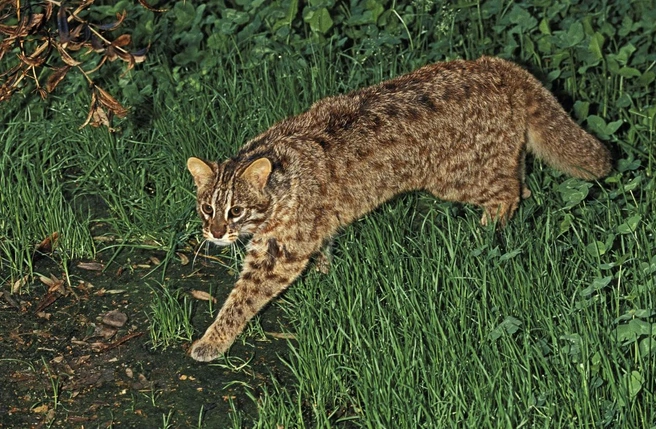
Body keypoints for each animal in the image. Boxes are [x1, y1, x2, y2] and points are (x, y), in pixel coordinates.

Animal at [184, 55, 608, 360]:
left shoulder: (277, 252)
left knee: (509, 192)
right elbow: (322, 246)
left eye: (235, 211)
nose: (216, 233)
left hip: (456, 176)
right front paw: (323, 271)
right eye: (207, 208)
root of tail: (500, 67)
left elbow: (243, 297)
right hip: (496, 156)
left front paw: (213, 340)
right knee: (522, 181)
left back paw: (486, 231)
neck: (278, 177)